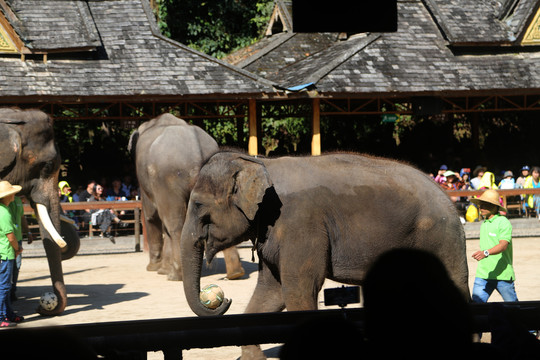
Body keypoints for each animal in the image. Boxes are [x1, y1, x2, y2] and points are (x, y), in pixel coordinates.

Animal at [130, 114, 244, 282]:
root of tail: (196, 150)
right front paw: (162, 270)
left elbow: (151, 215)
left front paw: (154, 269)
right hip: (215, 178)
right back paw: (235, 273)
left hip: (168, 178)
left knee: (174, 224)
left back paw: (176, 276)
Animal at [180, 151, 468, 360]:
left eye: (199, 206)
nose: (223, 298)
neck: (259, 163)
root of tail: (448, 198)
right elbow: (271, 292)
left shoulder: (299, 223)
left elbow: (298, 290)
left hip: (440, 235)